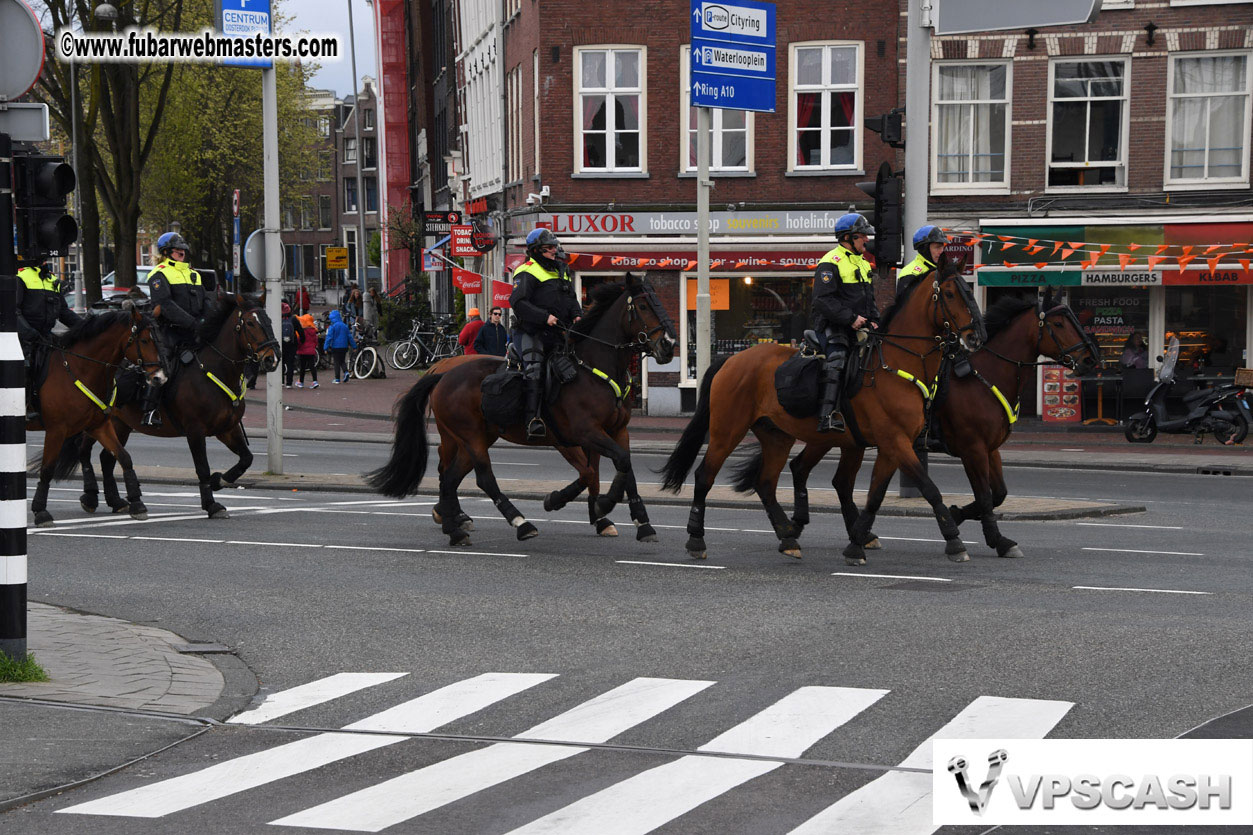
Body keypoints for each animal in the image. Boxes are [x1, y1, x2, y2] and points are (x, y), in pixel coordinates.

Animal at [27, 302, 165, 524]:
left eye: (160, 339)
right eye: (144, 340)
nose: (160, 377)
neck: (79, 368)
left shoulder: (99, 425)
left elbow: (124, 457)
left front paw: (137, 503)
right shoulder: (56, 430)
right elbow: (47, 469)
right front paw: (40, 511)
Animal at [75, 289, 279, 516]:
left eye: (270, 320)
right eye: (251, 323)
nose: (272, 358)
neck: (214, 370)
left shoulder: (228, 428)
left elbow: (246, 459)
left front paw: (219, 480)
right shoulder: (195, 430)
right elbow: (202, 468)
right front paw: (211, 504)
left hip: (121, 425)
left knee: (108, 458)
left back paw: (116, 501)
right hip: (99, 422)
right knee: (85, 452)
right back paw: (90, 497)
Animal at [368, 273, 676, 546]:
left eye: (659, 301)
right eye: (644, 305)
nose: (669, 345)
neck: (591, 369)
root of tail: (443, 373)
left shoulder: (617, 431)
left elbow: (623, 468)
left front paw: (639, 522)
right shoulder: (583, 433)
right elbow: (595, 472)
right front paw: (590, 505)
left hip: (474, 438)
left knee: (451, 477)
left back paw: (454, 528)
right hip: (470, 437)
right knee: (482, 478)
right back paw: (519, 523)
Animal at [661, 257, 982, 561]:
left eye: (970, 291)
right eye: (951, 293)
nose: (975, 337)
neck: (893, 363)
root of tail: (731, 360)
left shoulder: (891, 445)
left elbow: (875, 495)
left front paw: (857, 542)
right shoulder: (895, 441)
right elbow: (929, 487)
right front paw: (954, 540)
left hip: (779, 436)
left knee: (767, 483)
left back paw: (788, 537)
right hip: (727, 430)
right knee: (705, 476)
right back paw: (697, 539)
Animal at [731, 289, 1102, 556]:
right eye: (1059, 324)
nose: (1090, 359)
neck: (983, 374)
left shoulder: (990, 449)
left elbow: (998, 494)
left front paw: (963, 517)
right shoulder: (972, 448)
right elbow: (984, 496)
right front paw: (982, 533)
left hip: (840, 440)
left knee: (816, 475)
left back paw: (816, 529)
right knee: (805, 472)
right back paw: (800, 528)